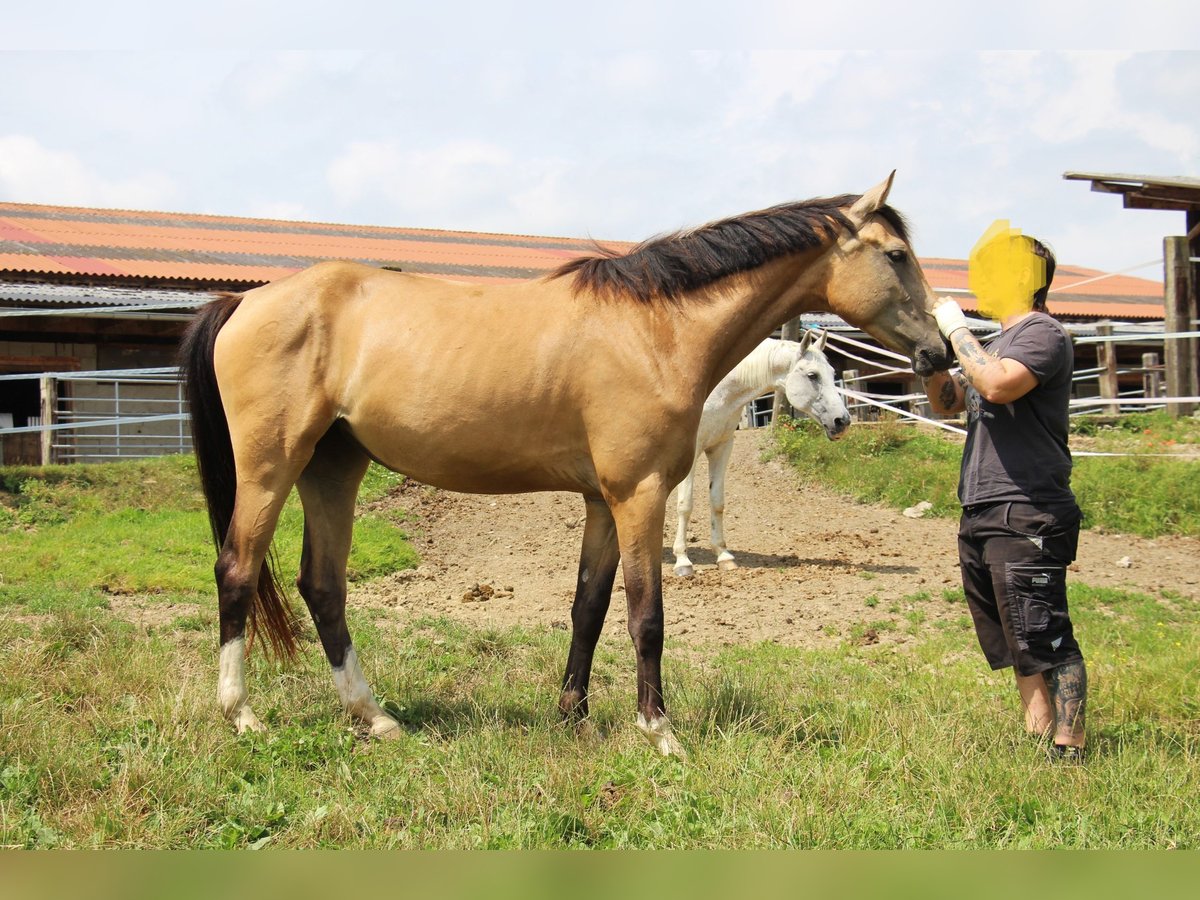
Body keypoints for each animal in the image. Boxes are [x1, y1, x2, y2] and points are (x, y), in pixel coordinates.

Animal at [672, 331, 849, 578]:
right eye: (813, 375)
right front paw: (682, 561)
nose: (842, 421)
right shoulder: (692, 450)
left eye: (833, 374)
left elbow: (717, 501)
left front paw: (723, 555)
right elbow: (685, 505)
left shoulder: (721, 446)